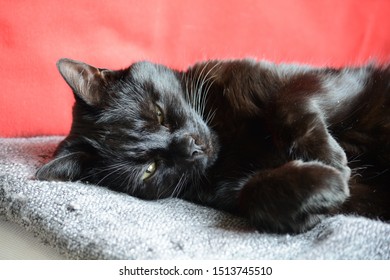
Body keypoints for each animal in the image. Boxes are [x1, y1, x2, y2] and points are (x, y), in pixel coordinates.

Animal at [35, 58, 386, 233]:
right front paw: (324, 186)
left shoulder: (329, 80)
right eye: (149, 169)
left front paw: (329, 158)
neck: (228, 137)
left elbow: (288, 99)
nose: (191, 148)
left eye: (158, 114)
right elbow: (252, 194)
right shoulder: (228, 191)